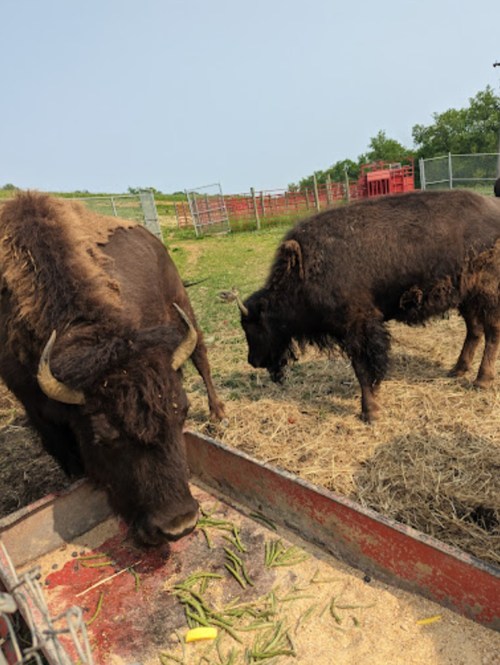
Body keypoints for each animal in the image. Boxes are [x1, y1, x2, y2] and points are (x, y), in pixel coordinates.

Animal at [0, 191, 224, 546]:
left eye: (183, 412)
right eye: (104, 436)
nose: (179, 524)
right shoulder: (33, 406)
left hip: (182, 307)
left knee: (201, 357)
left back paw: (218, 414)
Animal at [234, 190, 500, 422]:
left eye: (254, 326)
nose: (253, 360)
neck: (303, 272)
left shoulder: (357, 327)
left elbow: (363, 369)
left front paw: (370, 412)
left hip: (487, 293)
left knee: (492, 332)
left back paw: (481, 381)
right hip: (466, 296)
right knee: (474, 330)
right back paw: (457, 370)